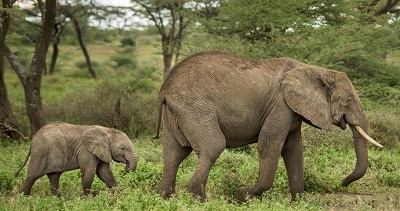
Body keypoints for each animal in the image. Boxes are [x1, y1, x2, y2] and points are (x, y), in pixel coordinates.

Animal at [154, 50, 382, 202]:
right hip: (194, 108)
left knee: (173, 153)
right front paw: (242, 196)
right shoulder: (280, 105)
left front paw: (299, 202)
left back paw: (165, 197)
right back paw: (197, 198)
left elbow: (293, 150)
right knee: (213, 145)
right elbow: (269, 144)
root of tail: (165, 87)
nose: (342, 183)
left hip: (177, 113)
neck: (312, 69)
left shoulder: (293, 111)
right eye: (349, 99)